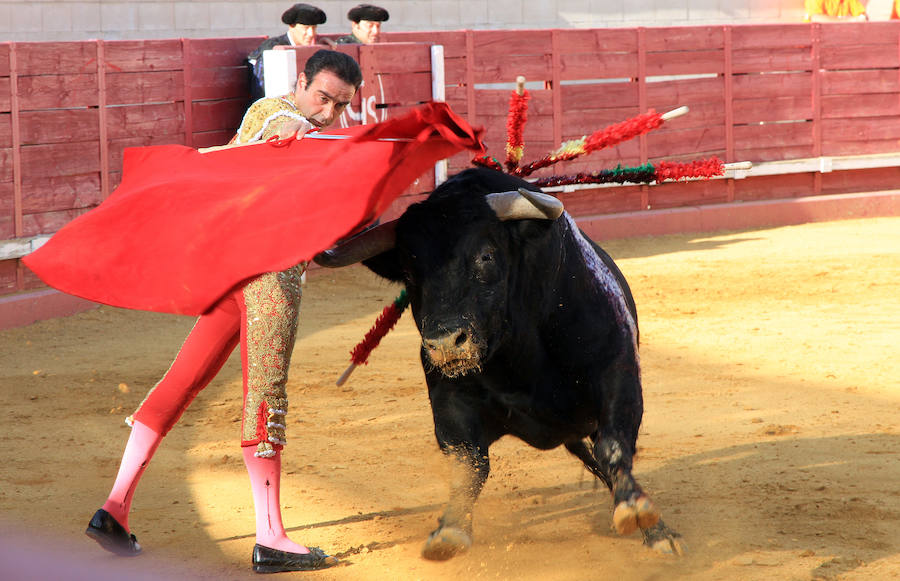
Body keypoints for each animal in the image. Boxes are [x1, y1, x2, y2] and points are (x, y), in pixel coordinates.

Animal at [316, 167, 684, 556]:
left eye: (486, 256)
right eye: (410, 273)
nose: (445, 344)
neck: (519, 357)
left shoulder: (617, 368)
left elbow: (613, 445)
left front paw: (639, 512)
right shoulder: (449, 396)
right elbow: (468, 463)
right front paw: (450, 529)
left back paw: (657, 532)